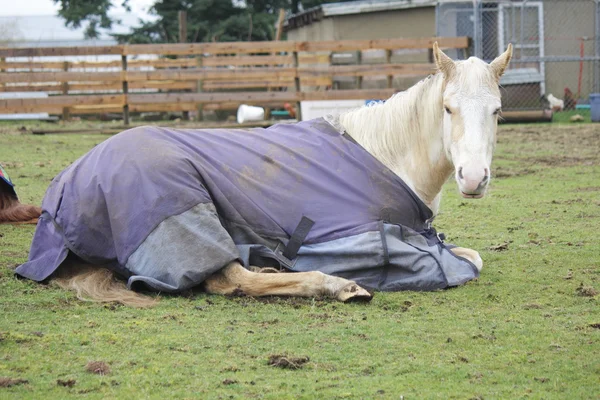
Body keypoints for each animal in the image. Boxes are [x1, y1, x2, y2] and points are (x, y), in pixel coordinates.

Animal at [15, 42, 510, 306]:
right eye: (448, 109)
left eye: (498, 111)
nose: (473, 179)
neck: (385, 154)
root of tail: (65, 186)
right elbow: (469, 262)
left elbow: (474, 256)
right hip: (186, 216)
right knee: (229, 279)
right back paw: (336, 284)